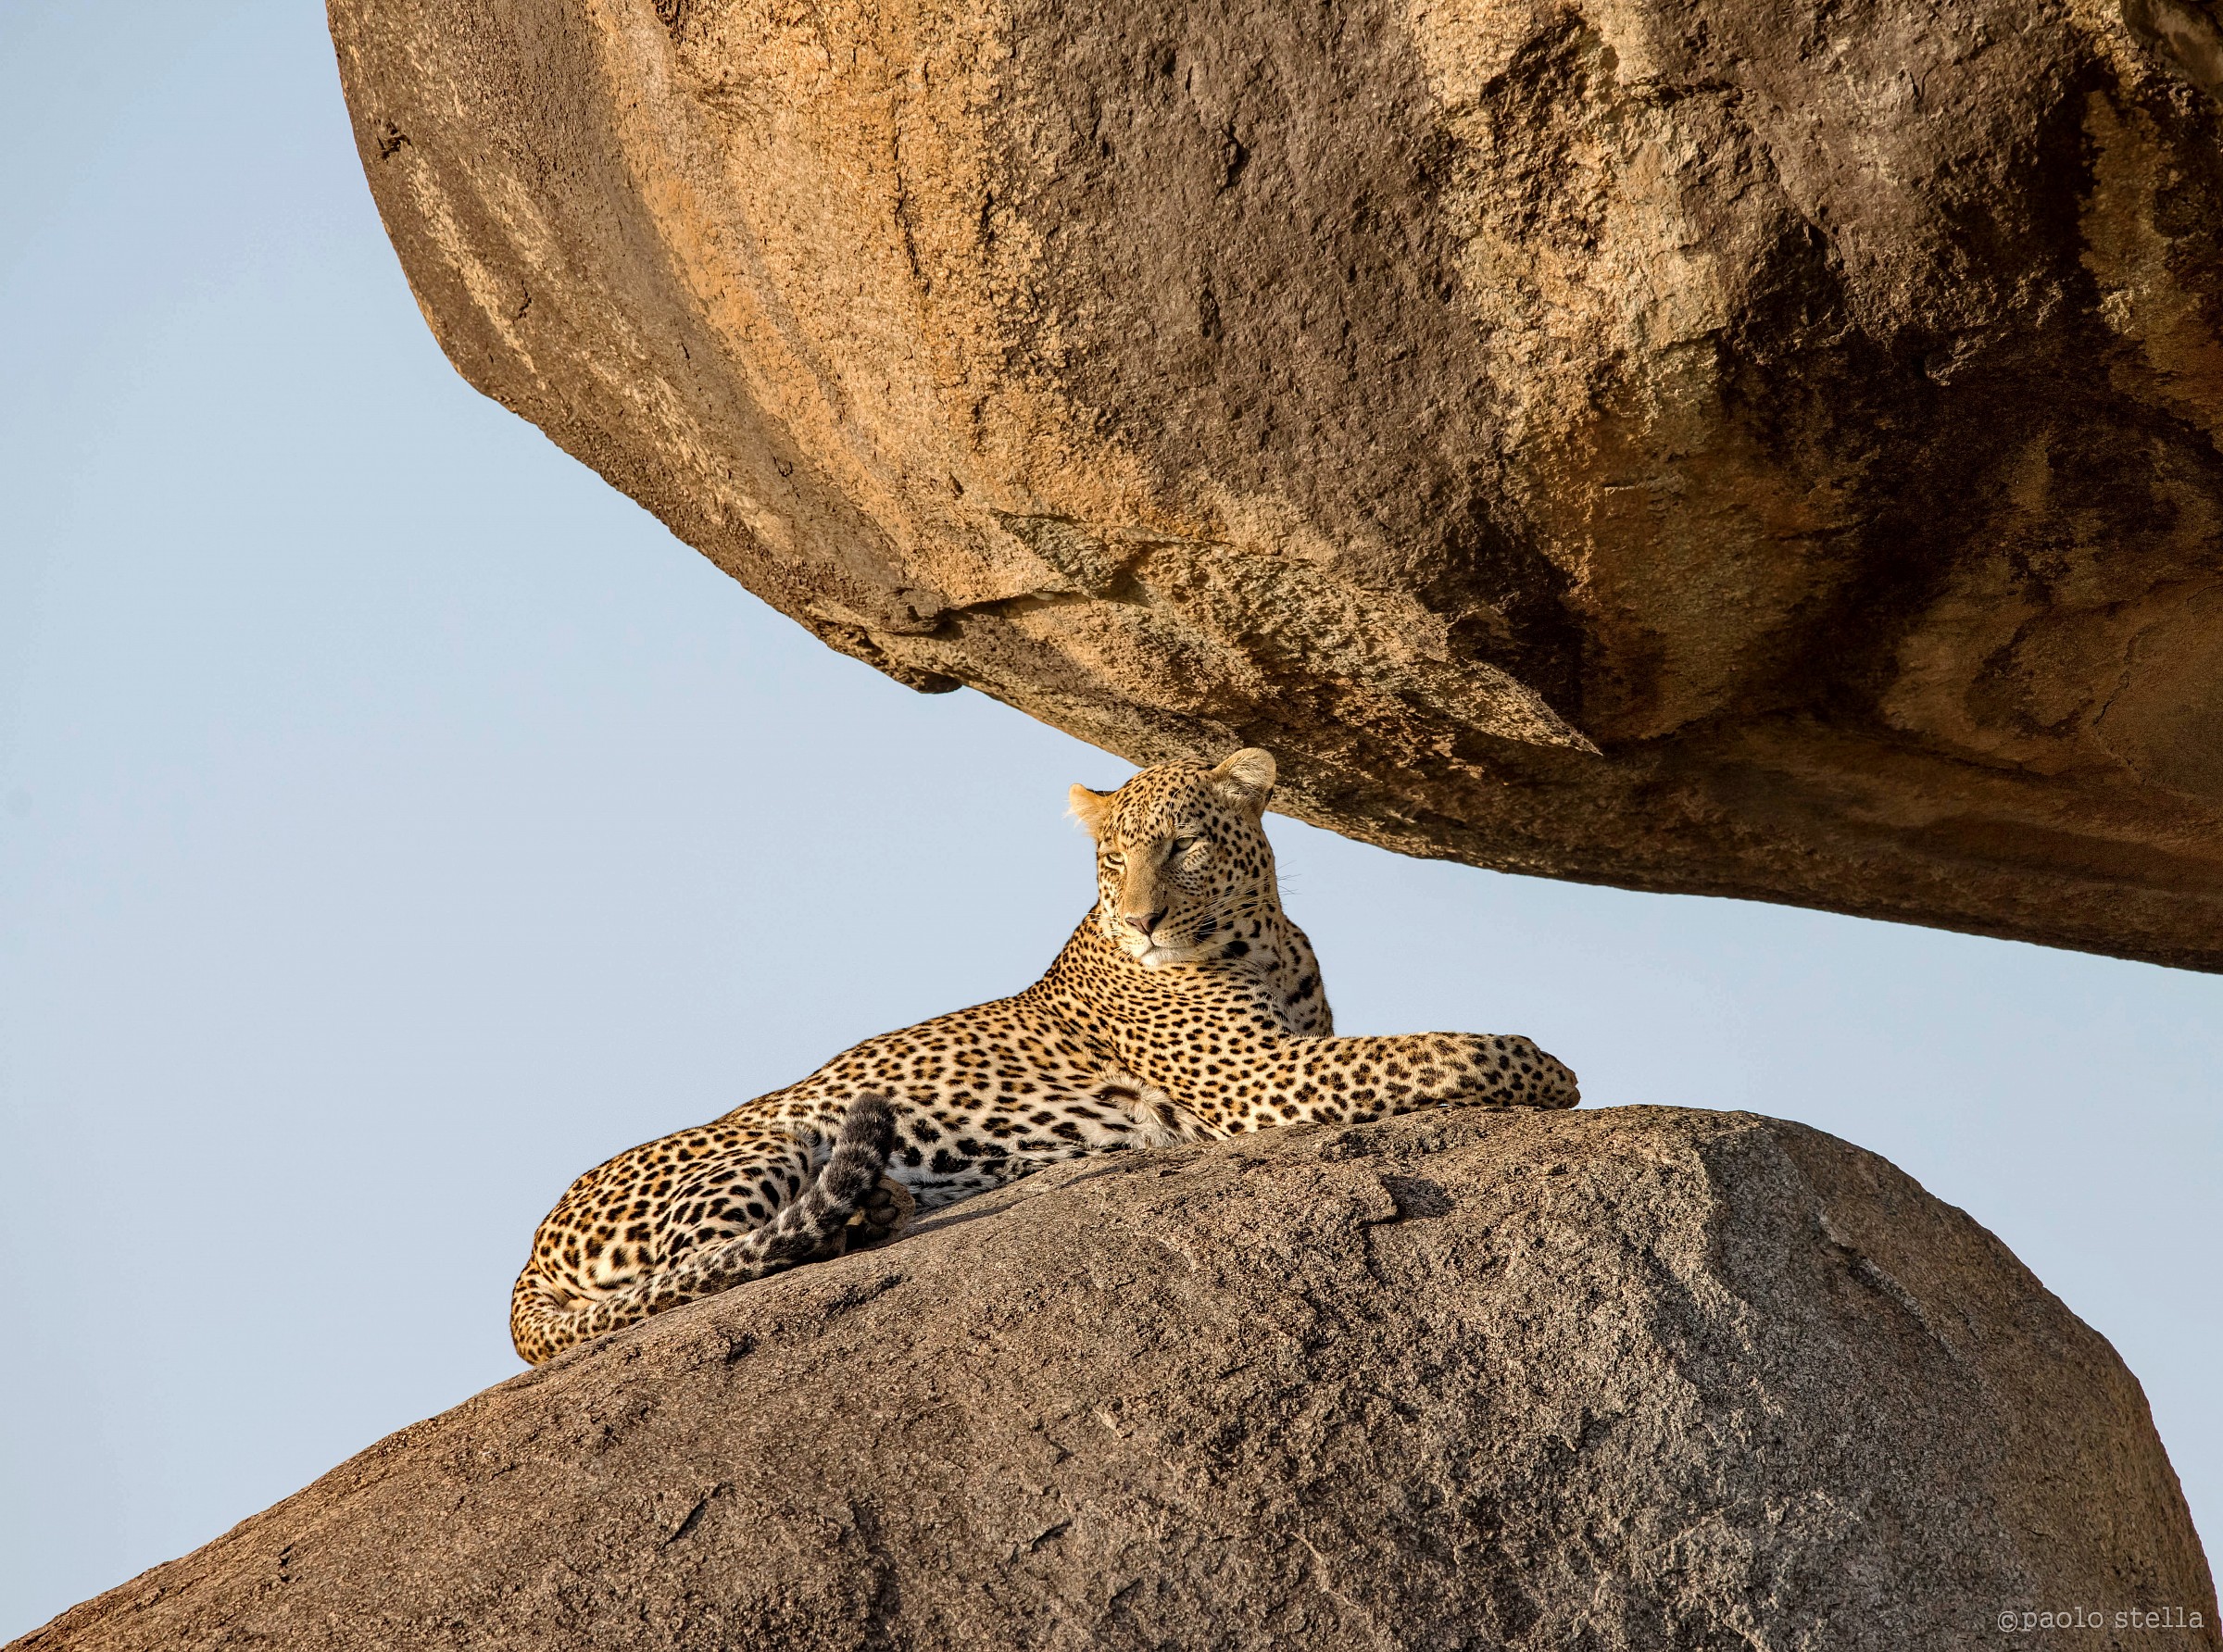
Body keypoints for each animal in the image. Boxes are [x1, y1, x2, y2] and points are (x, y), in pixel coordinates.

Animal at [510, 748, 1580, 1364]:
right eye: (1113, 857)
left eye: (1183, 844)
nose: (1144, 918)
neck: (1267, 936)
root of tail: (526, 1259)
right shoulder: (1264, 1078)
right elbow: (1434, 1048)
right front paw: (1550, 1069)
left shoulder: (1289, 1056)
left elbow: (1413, 1046)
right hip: (761, 1143)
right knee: (714, 1267)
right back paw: (865, 1212)